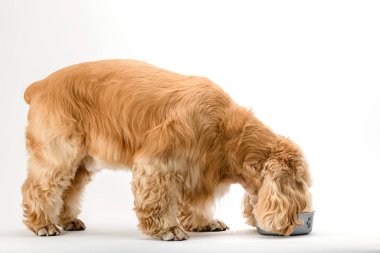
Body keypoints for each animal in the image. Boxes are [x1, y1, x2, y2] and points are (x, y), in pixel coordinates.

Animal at [21, 59, 312, 239]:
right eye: (301, 183)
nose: (303, 213)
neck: (229, 133)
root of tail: (40, 85)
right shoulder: (158, 163)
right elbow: (159, 199)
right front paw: (167, 229)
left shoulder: (198, 172)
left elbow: (194, 204)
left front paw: (204, 223)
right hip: (59, 154)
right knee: (38, 188)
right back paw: (44, 224)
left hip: (81, 162)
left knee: (69, 189)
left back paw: (67, 220)